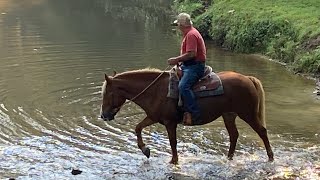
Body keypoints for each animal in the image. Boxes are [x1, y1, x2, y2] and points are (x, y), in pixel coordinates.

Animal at [99, 68, 272, 164]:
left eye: (107, 93)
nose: (103, 116)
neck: (156, 91)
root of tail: (248, 78)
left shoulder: (170, 122)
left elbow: (173, 142)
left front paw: (174, 161)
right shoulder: (153, 117)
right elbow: (138, 127)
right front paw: (145, 150)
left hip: (247, 113)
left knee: (262, 131)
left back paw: (271, 157)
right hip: (229, 115)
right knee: (234, 135)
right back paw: (229, 158)